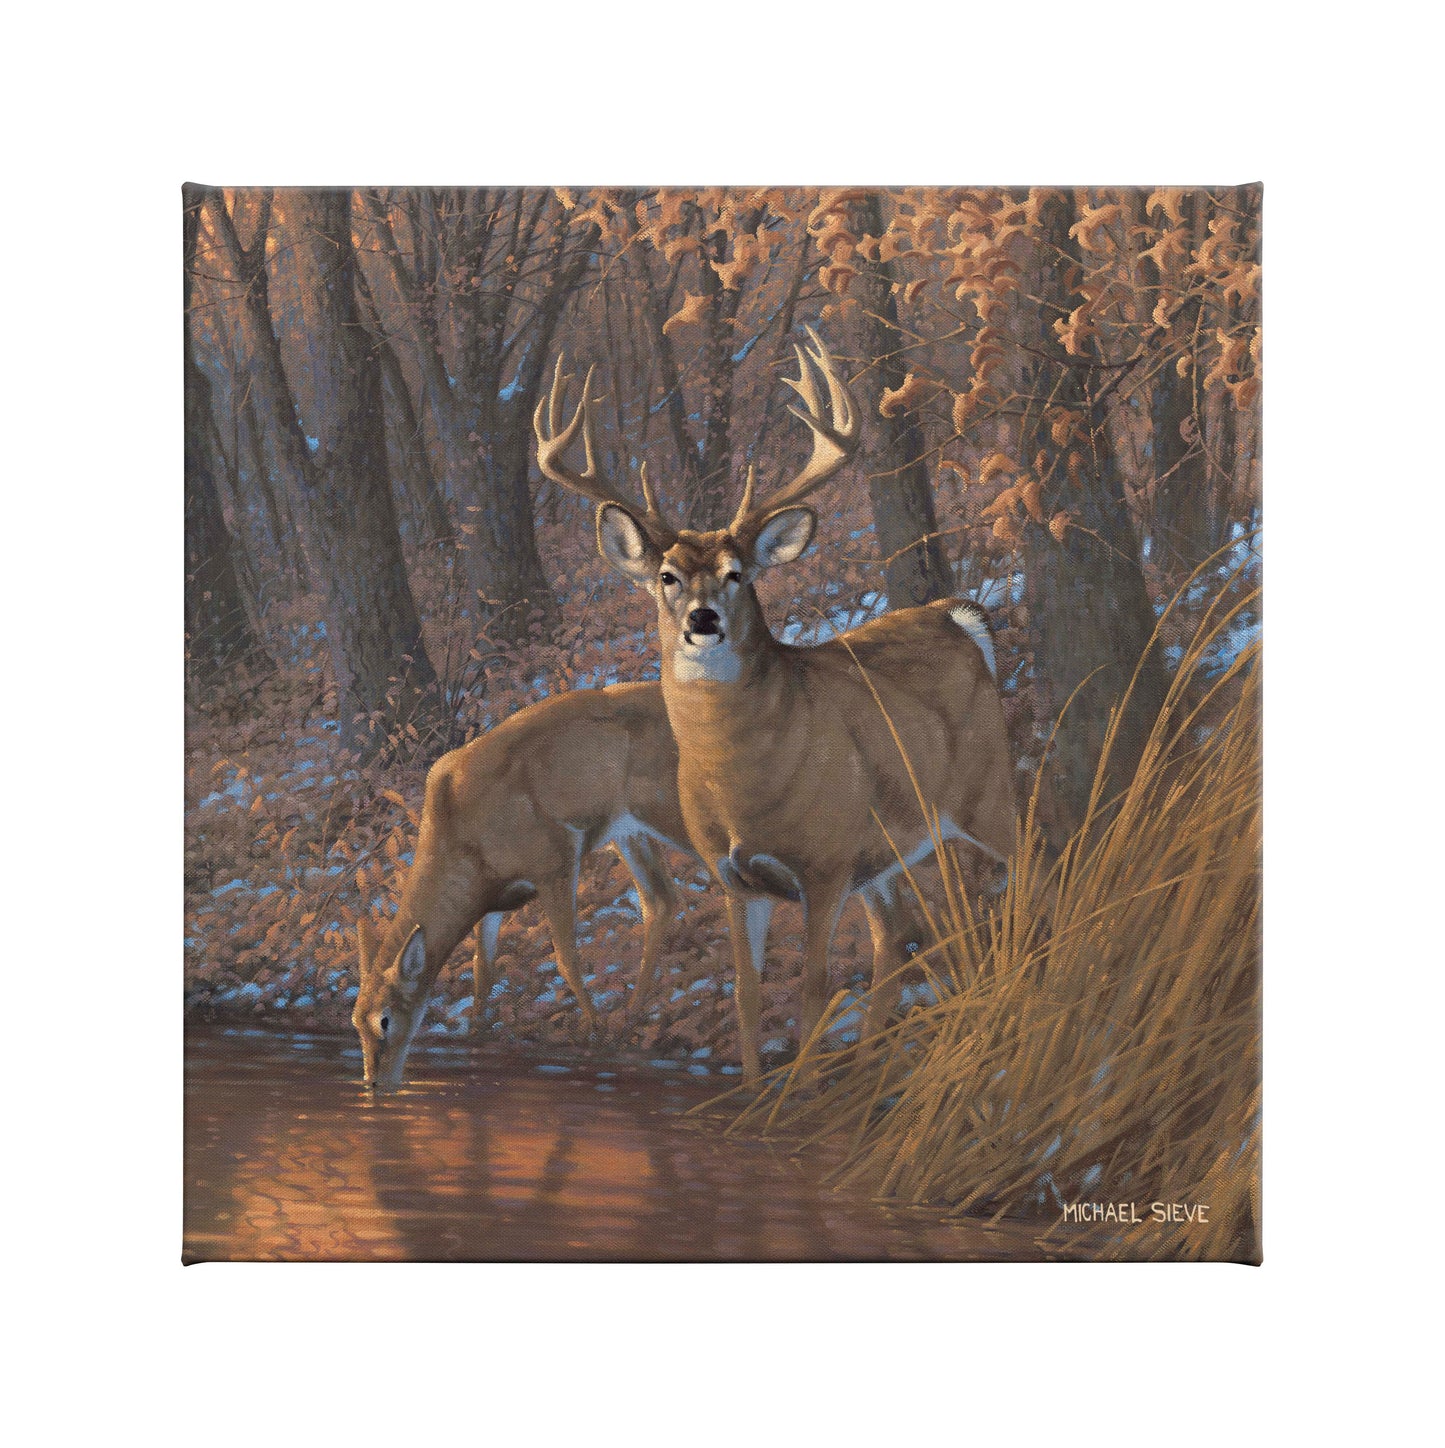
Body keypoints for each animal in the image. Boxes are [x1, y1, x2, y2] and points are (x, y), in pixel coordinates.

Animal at [352, 682, 694, 1090]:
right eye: (355, 1022)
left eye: (384, 1019)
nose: (373, 1082)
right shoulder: (492, 902)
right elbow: (483, 972)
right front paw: (476, 1035)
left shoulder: (555, 859)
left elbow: (566, 958)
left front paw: (595, 1033)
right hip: (629, 832)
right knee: (661, 900)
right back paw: (631, 1022)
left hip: (672, 808)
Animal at [534, 329, 1016, 1084]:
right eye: (666, 576)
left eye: (738, 574)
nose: (702, 619)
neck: (745, 784)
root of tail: (957, 617)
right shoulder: (736, 877)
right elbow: (747, 994)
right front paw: (760, 1091)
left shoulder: (823, 864)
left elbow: (814, 990)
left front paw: (800, 1089)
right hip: (883, 846)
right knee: (900, 931)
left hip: (983, 791)